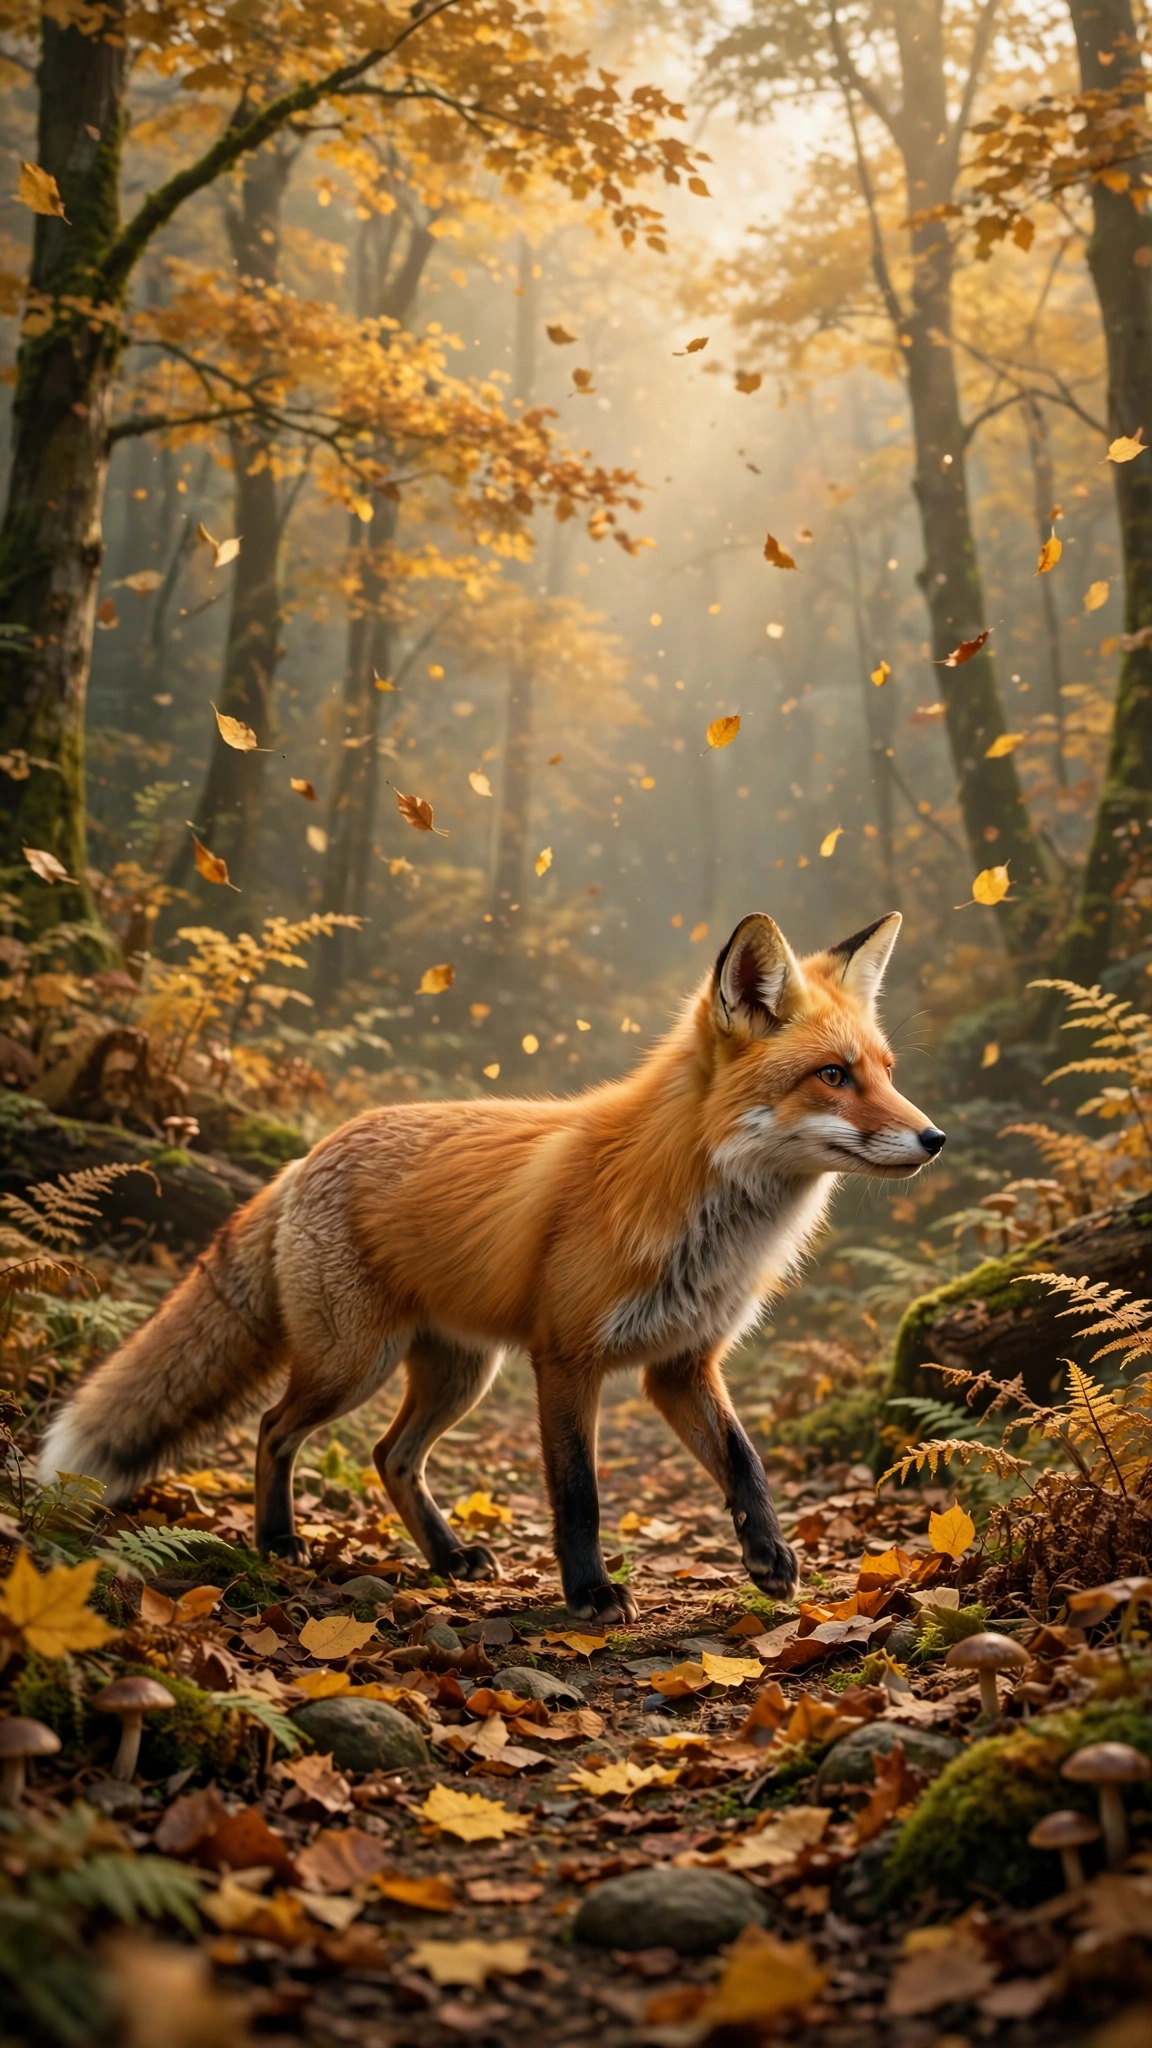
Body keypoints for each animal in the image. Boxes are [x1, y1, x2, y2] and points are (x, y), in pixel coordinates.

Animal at [39, 909, 943, 1625]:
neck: (699, 1211)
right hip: (353, 1365)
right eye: (833, 1076)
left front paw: (770, 1557)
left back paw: (447, 1557)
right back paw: (279, 1539)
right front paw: (589, 1594)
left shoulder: (682, 1365)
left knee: (390, 1456)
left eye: (888, 1072)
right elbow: (577, 1494)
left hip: (458, 1374)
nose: (935, 1138)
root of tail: (307, 1155)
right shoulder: (567, 1358)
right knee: (273, 1428)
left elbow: (744, 1462)